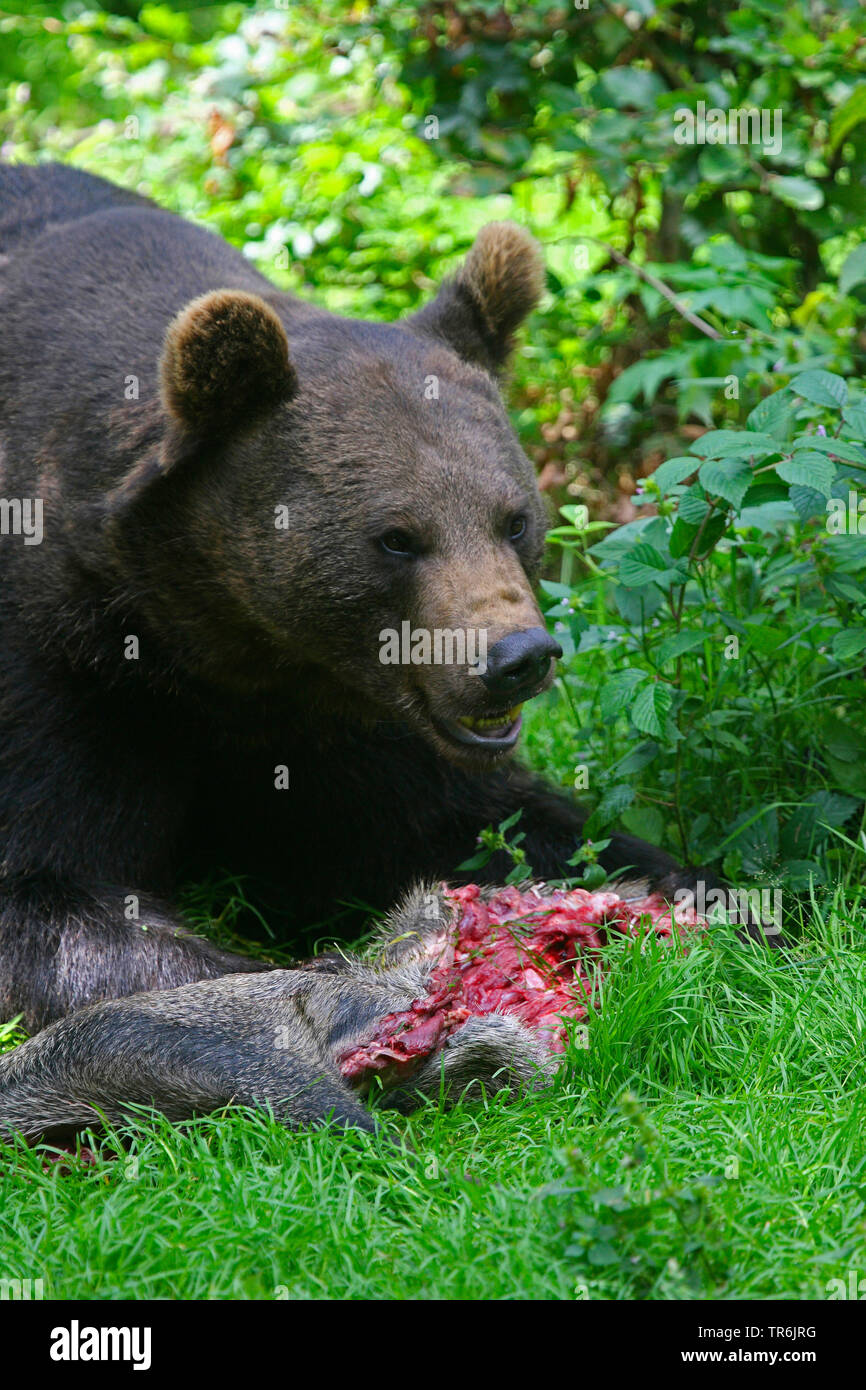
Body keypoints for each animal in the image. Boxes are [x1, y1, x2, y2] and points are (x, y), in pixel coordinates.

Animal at [0, 159, 695, 1045]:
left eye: (514, 518)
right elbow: (49, 888)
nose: (516, 659)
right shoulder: (64, 661)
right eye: (397, 537)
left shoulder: (347, 712)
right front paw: (320, 981)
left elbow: (470, 821)